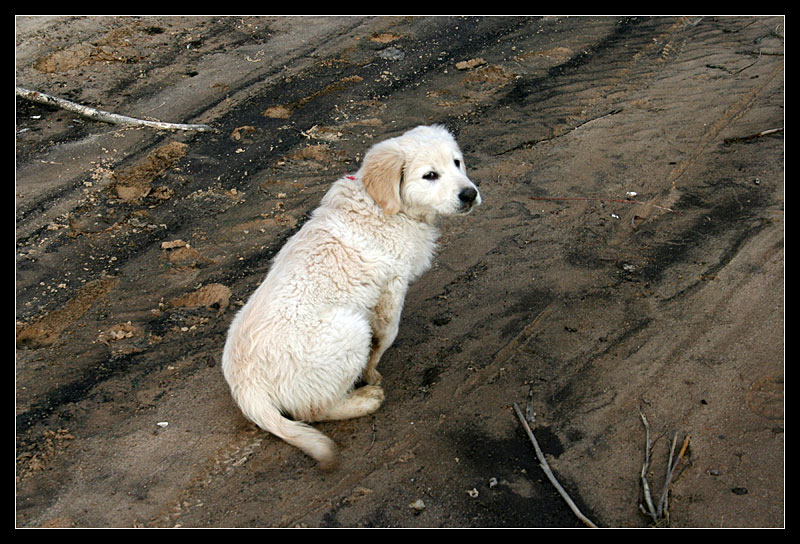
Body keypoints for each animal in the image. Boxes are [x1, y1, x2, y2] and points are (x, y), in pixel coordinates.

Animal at [221, 125, 481, 469]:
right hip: (350, 329)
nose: (470, 194)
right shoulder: (391, 287)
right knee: (313, 411)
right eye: (430, 175)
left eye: (457, 163)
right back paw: (364, 400)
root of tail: (246, 386)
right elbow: (386, 336)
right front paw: (371, 373)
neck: (385, 206)